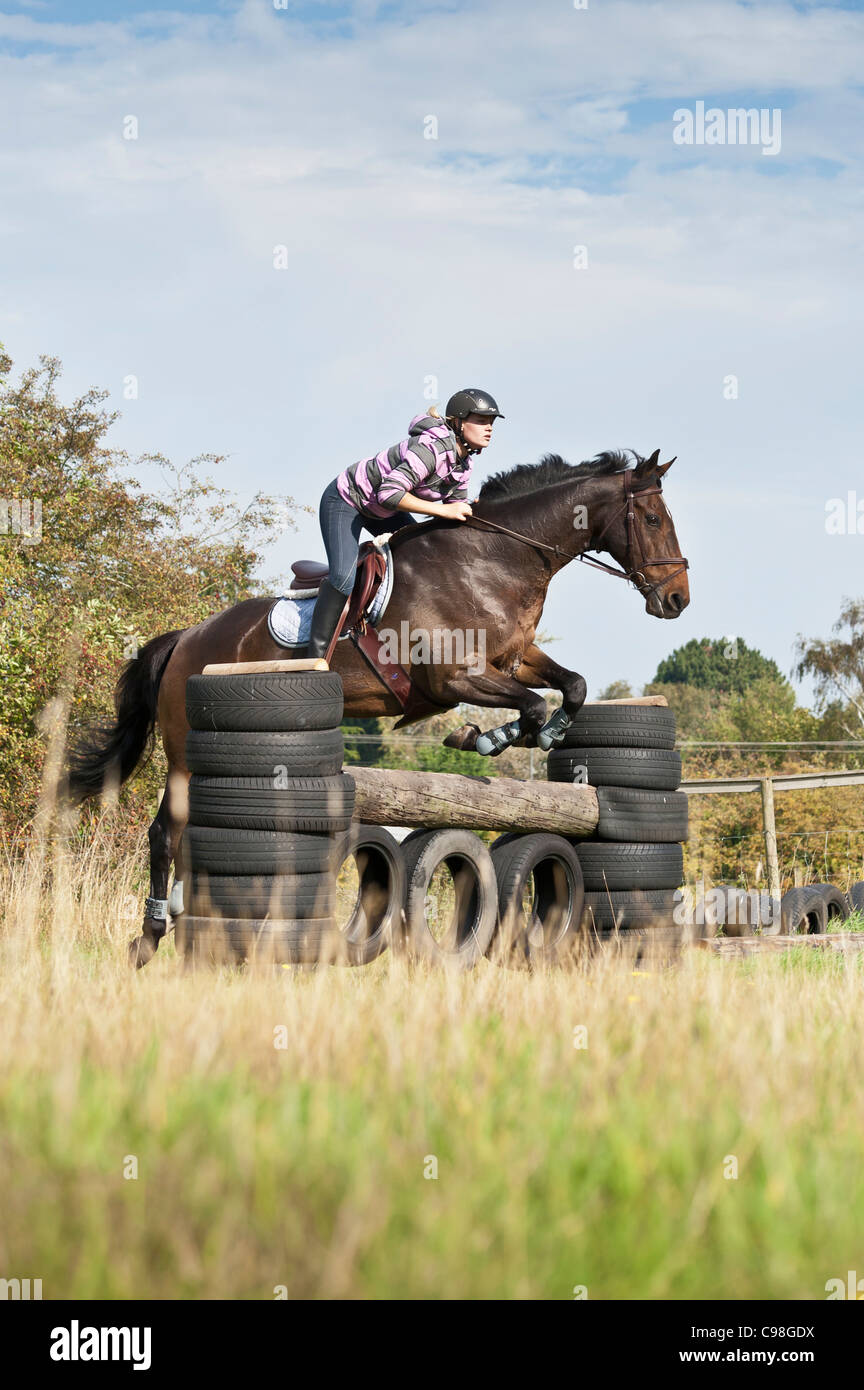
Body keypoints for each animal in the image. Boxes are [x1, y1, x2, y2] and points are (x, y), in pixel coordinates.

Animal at [64, 447, 694, 967]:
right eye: (654, 519)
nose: (677, 600)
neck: (495, 558)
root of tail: (184, 638)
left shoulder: (513, 660)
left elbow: (575, 687)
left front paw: (534, 734)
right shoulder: (457, 677)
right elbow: (534, 707)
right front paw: (485, 738)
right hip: (183, 753)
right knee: (165, 834)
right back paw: (149, 937)